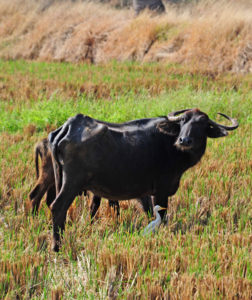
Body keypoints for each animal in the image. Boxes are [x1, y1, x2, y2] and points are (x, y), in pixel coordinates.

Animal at [47, 109, 238, 252]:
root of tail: (68, 126)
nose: (184, 140)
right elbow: (162, 216)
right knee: (58, 207)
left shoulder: (145, 193)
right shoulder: (161, 190)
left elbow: (149, 213)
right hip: (72, 183)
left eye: (202, 125)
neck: (170, 144)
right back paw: (57, 247)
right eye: (183, 121)